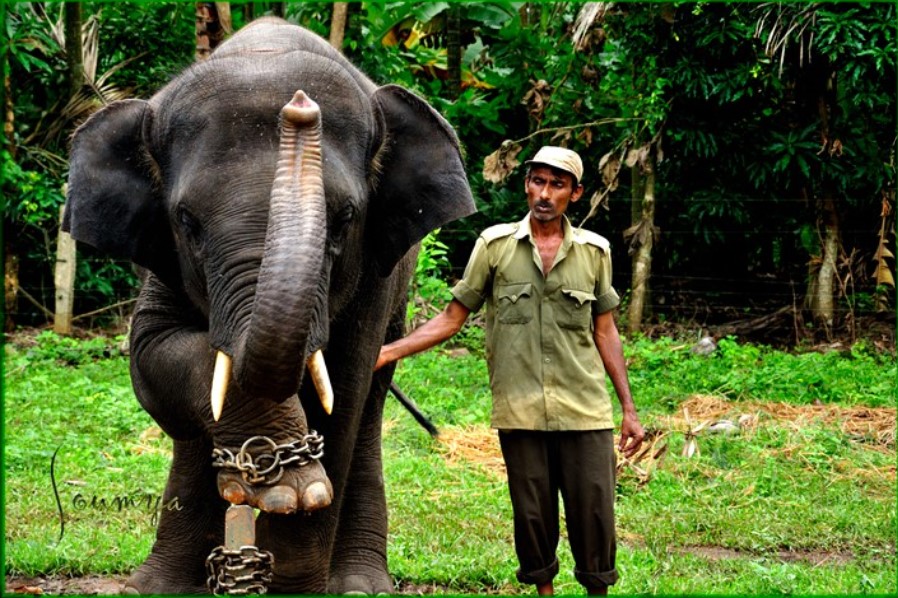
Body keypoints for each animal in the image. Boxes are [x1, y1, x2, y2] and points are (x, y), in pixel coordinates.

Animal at [63, 15, 476, 596]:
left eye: (345, 219)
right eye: (186, 221)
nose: (300, 108)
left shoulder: (374, 273)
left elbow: (342, 390)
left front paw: (293, 526)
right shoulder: (160, 261)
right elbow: (151, 357)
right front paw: (274, 486)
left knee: (368, 408)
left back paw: (358, 582)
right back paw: (161, 580)